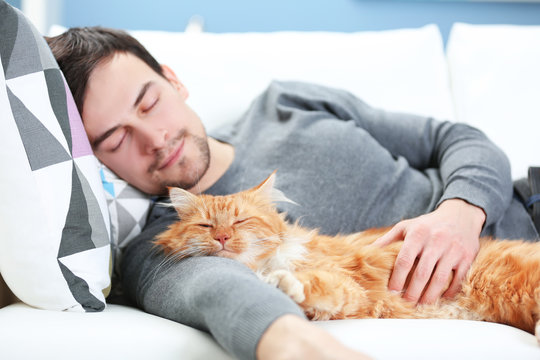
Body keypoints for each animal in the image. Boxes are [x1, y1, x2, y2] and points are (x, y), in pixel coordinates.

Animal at [155, 173, 540, 338]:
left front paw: (283, 282)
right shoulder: (350, 303)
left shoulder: (350, 284)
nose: (222, 237)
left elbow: (313, 284)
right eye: (206, 225)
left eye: (240, 220)